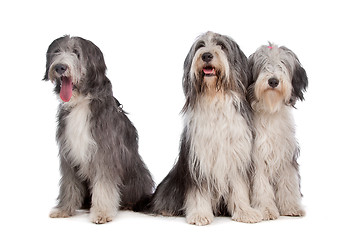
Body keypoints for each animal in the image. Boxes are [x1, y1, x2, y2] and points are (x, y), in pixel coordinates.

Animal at [43, 35, 154, 223]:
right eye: (57, 52)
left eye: (76, 53)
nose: (60, 67)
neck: (81, 101)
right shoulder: (68, 154)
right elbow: (68, 184)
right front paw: (64, 209)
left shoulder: (105, 152)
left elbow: (104, 185)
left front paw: (102, 213)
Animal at [248, 42, 310, 219]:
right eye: (263, 64)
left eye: (283, 64)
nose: (273, 81)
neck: (270, 111)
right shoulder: (257, 158)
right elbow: (261, 185)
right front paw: (266, 209)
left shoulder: (286, 156)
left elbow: (288, 182)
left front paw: (291, 207)